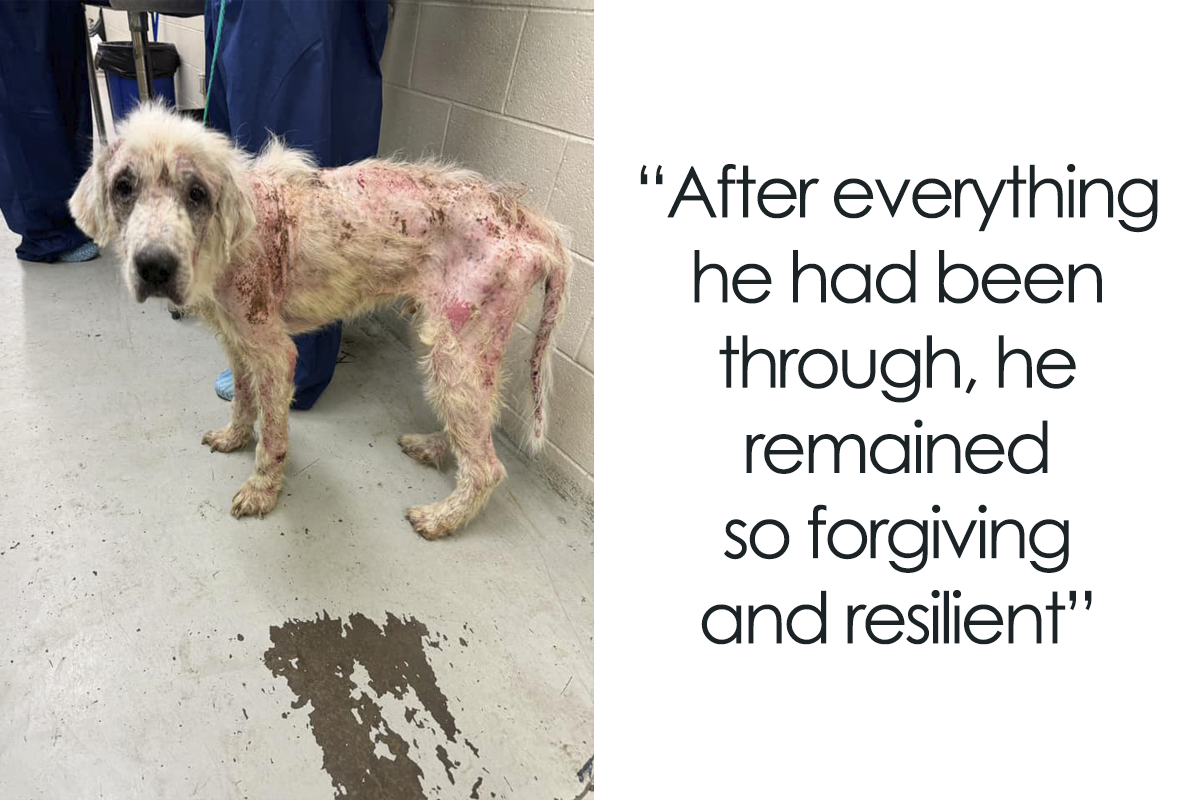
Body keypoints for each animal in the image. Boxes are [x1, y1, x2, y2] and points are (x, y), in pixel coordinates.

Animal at [69, 104, 570, 539]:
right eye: (123, 186)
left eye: (196, 193)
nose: (154, 266)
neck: (225, 241)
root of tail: (527, 221)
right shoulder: (237, 342)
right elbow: (243, 400)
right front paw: (234, 437)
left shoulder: (275, 355)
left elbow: (272, 436)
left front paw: (262, 492)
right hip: (464, 353)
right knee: (478, 425)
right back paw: (432, 448)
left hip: (456, 351)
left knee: (488, 466)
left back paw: (442, 518)